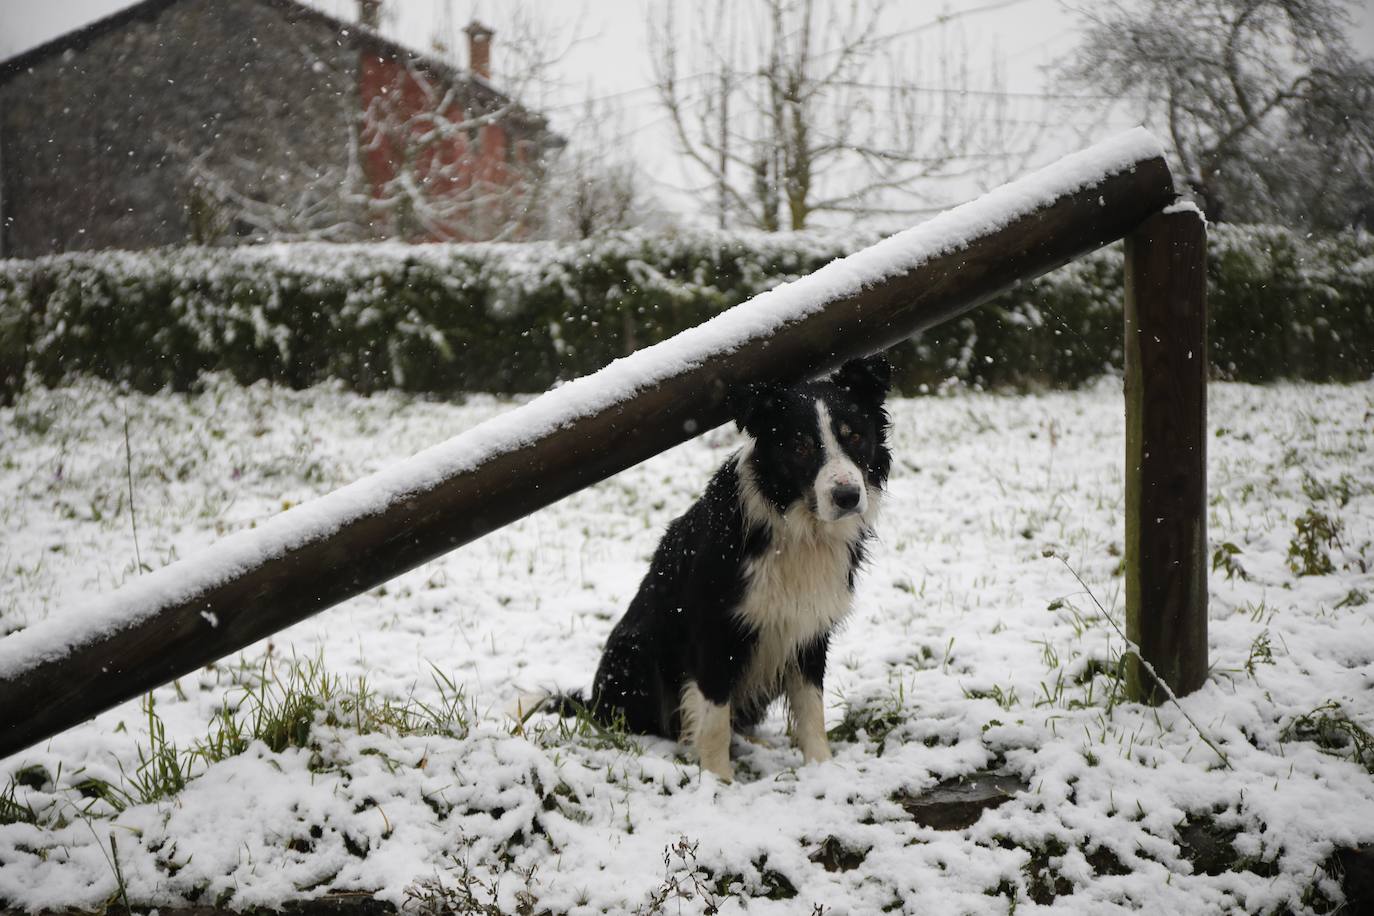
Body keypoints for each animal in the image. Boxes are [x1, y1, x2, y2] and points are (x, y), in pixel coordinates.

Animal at [555, 354, 890, 780]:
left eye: (855, 436)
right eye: (800, 446)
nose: (847, 497)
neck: (797, 529)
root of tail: (593, 701)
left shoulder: (809, 628)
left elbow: (811, 709)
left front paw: (822, 769)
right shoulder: (716, 631)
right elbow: (713, 718)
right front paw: (717, 781)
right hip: (633, 652)